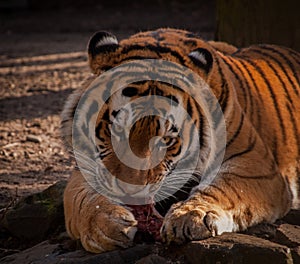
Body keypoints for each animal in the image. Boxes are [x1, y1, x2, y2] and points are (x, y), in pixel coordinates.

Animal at [61, 27, 300, 253]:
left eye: (165, 140)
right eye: (117, 128)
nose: (130, 192)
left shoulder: (257, 165)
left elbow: (227, 188)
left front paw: (191, 216)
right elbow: (81, 198)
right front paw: (104, 224)